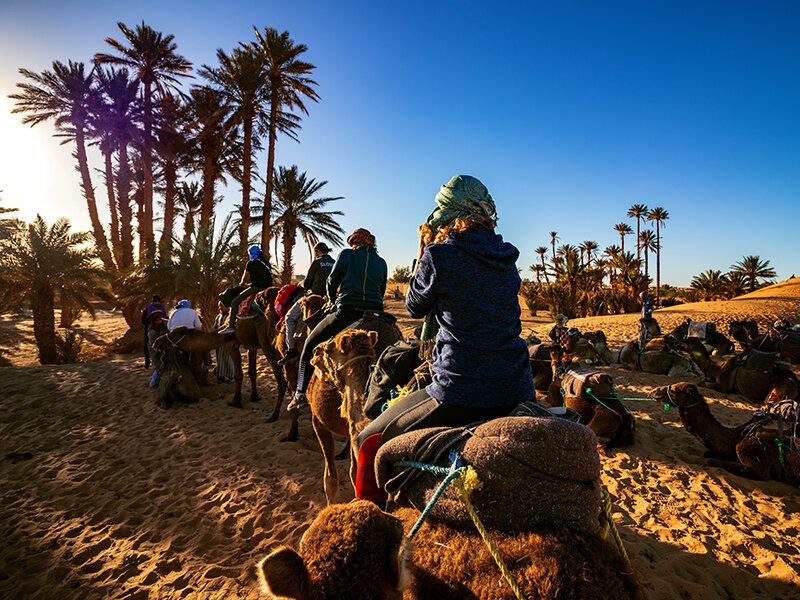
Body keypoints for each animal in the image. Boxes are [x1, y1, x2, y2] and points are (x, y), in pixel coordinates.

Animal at [652, 384, 796, 488]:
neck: (739, 435)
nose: (654, 391)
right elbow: (708, 453)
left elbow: (710, 460)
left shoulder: (755, 460)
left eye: (675, 390)